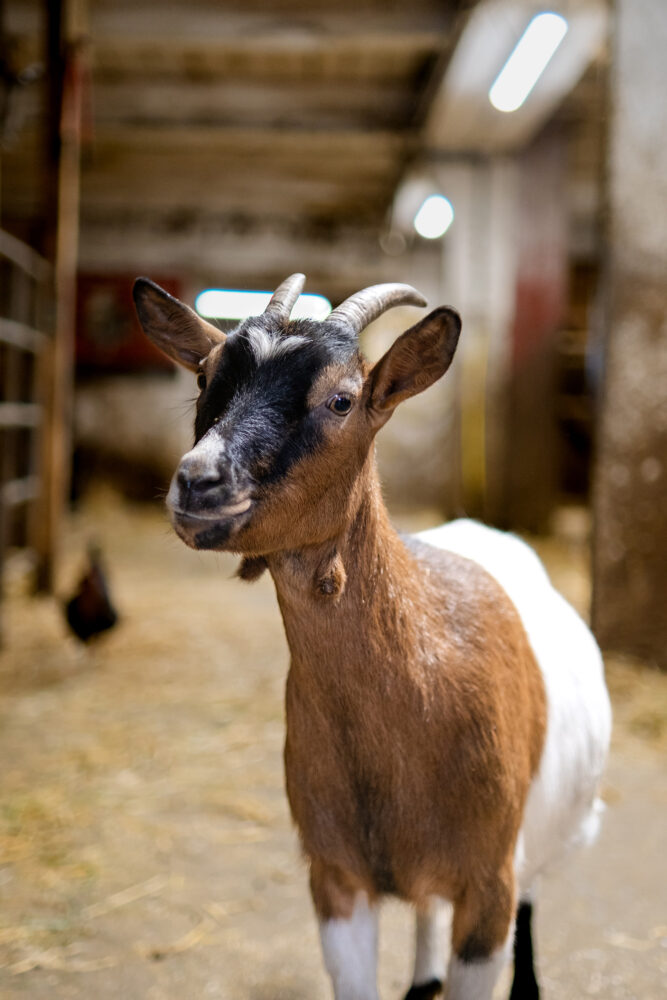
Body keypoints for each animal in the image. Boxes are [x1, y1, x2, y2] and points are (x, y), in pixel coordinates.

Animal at [134, 274, 612, 1000]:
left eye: (341, 399)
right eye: (205, 378)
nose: (198, 482)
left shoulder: (488, 888)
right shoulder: (334, 879)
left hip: (546, 840)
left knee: (532, 896)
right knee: (425, 913)